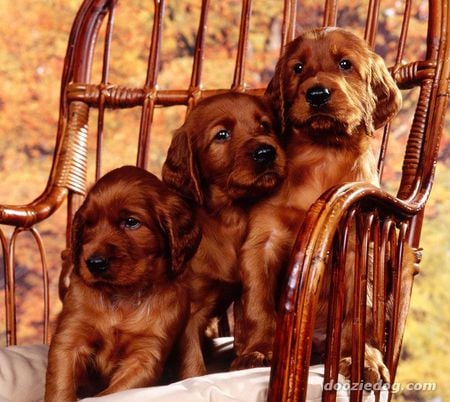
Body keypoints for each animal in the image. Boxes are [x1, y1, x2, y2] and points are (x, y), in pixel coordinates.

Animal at [44, 165, 200, 400]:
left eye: (131, 222)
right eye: (88, 224)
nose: (94, 263)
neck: (123, 295)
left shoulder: (145, 355)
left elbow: (109, 394)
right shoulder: (69, 338)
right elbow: (60, 389)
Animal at [163, 92, 286, 378]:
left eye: (265, 126)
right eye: (221, 135)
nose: (266, 152)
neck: (229, 218)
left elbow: (253, 316)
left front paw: (253, 354)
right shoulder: (190, 313)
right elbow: (193, 367)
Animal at [234, 28, 402, 384]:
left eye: (345, 64)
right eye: (298, 68)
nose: (317, 94)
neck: (323, 154)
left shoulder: (359, 248)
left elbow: (361, 313)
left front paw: (362, 359)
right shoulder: (263, 243)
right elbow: (258, 304)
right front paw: (259, 351)